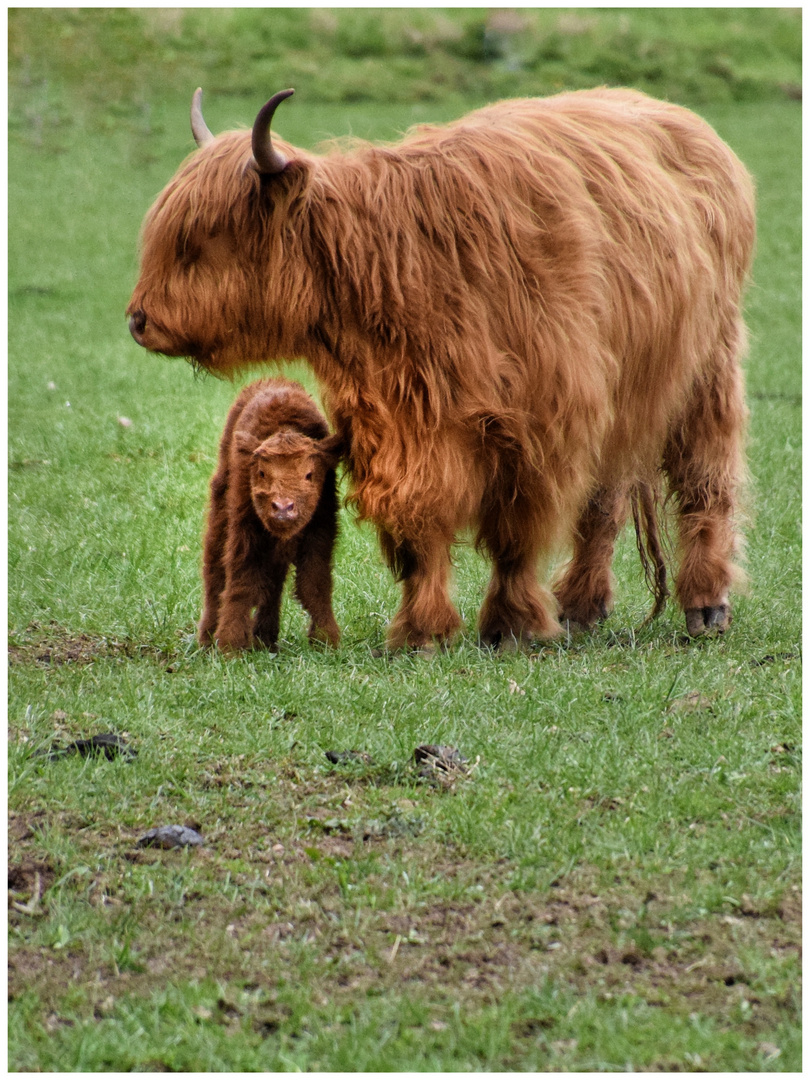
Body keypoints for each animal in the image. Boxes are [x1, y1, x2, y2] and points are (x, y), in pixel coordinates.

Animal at [203, 378, 345, 648]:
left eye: (309, 475)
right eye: (261, 473)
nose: (282, 507)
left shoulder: (321, 528)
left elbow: (315, 583)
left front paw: (326, 640)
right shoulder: (245, 530)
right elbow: (242, 582)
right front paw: (230, 645)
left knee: (273, 581)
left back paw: (266, 639)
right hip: (220, 512)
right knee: (214, 571)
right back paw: (206, 639)